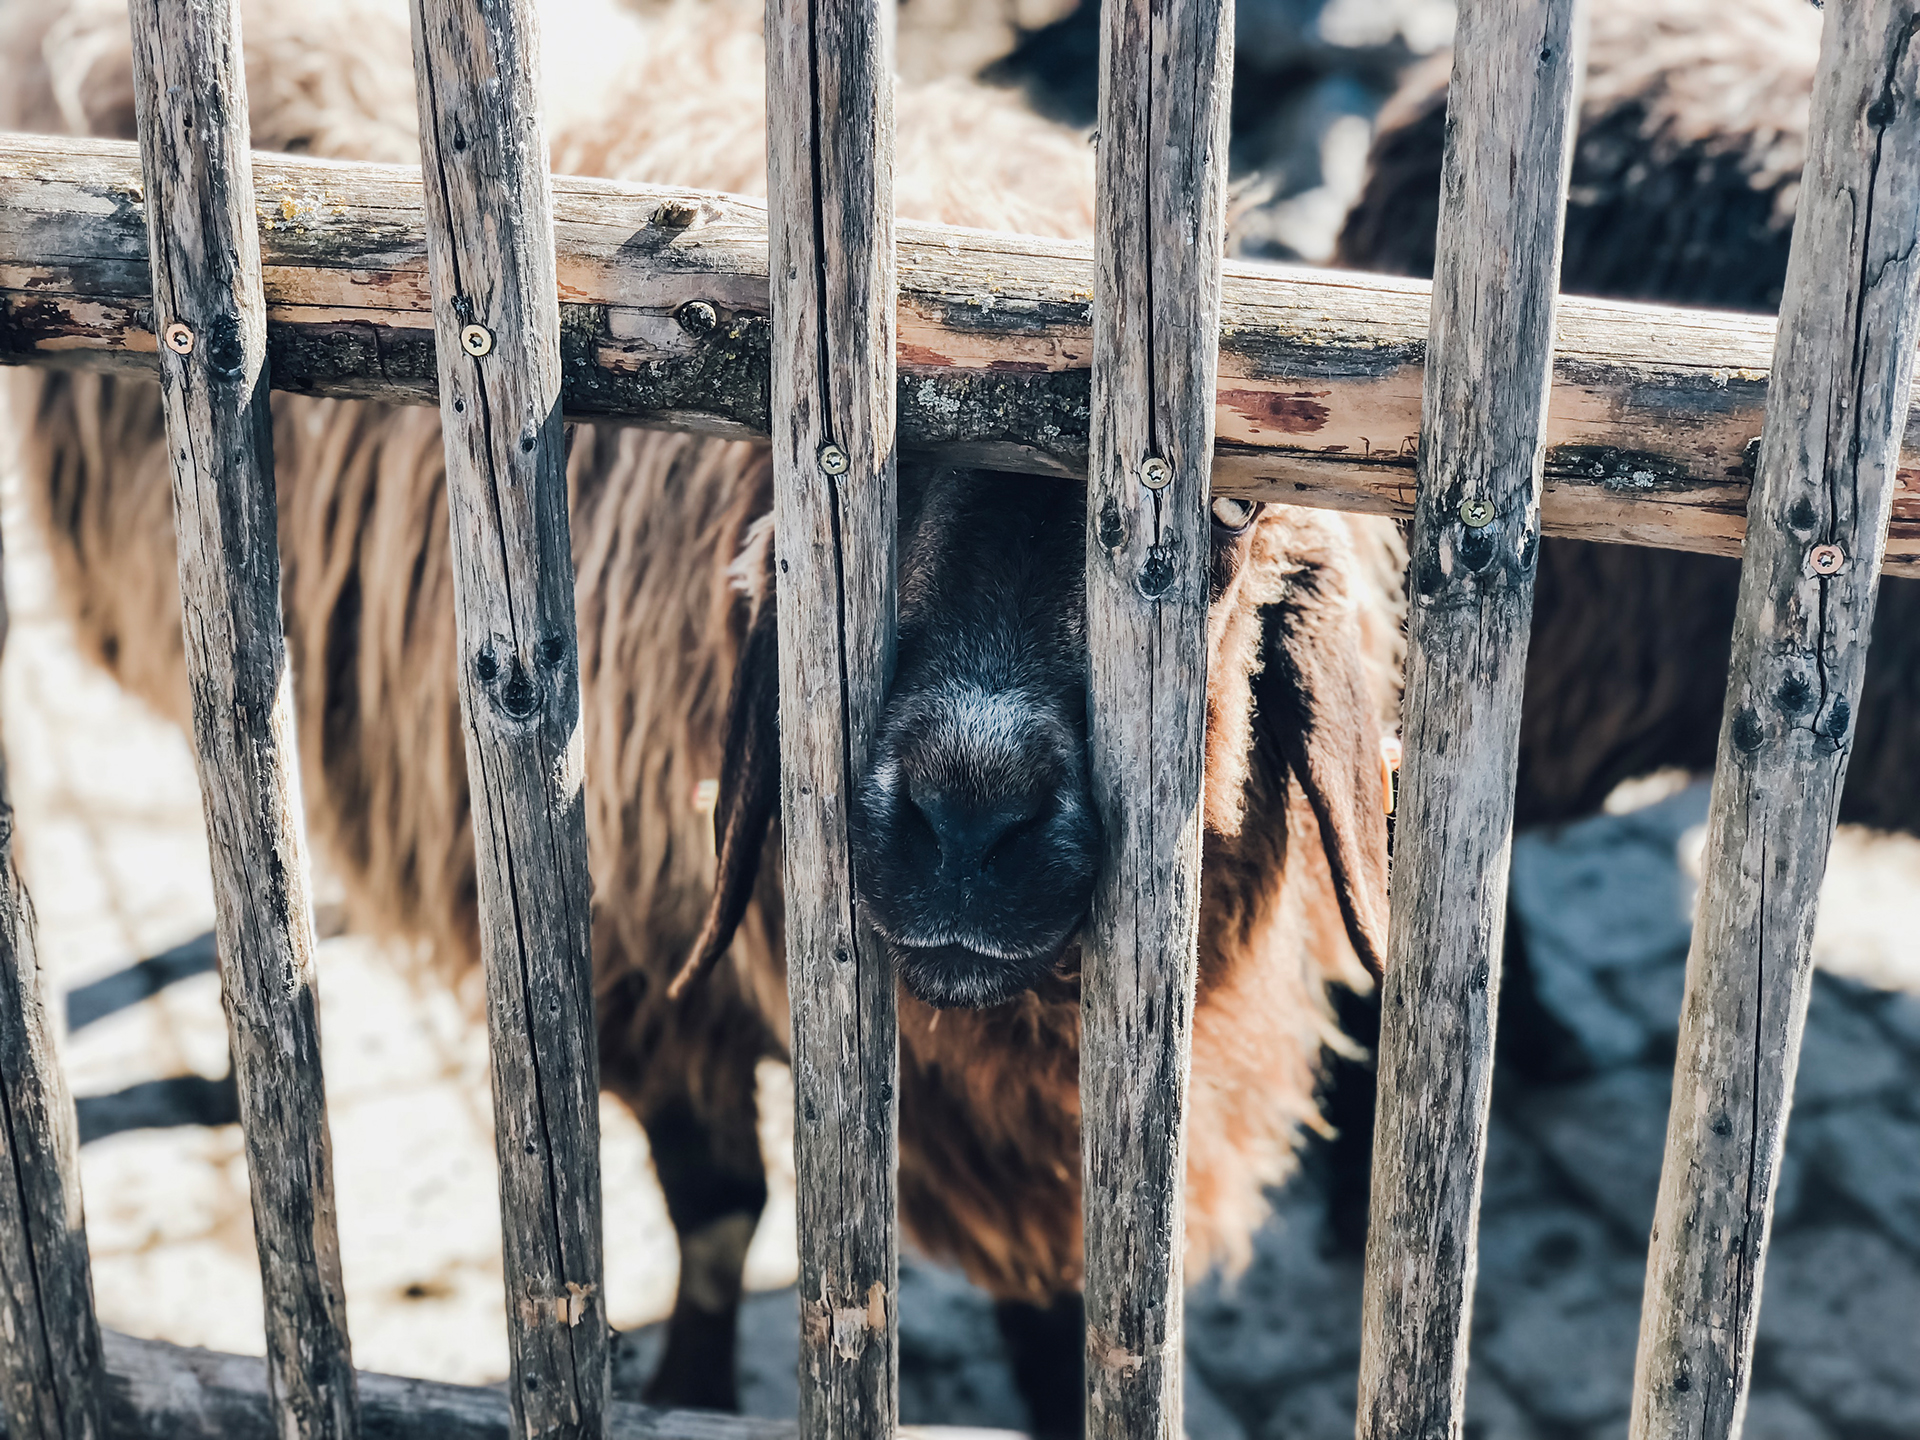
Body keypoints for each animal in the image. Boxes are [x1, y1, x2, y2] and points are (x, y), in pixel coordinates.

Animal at [3, 0, 1413, 1428]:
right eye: (873, 473)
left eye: (1231, 514)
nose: (968, 823)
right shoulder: (640, 974)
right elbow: (718, 1207)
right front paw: (693, 1383)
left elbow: (1060, 1321)